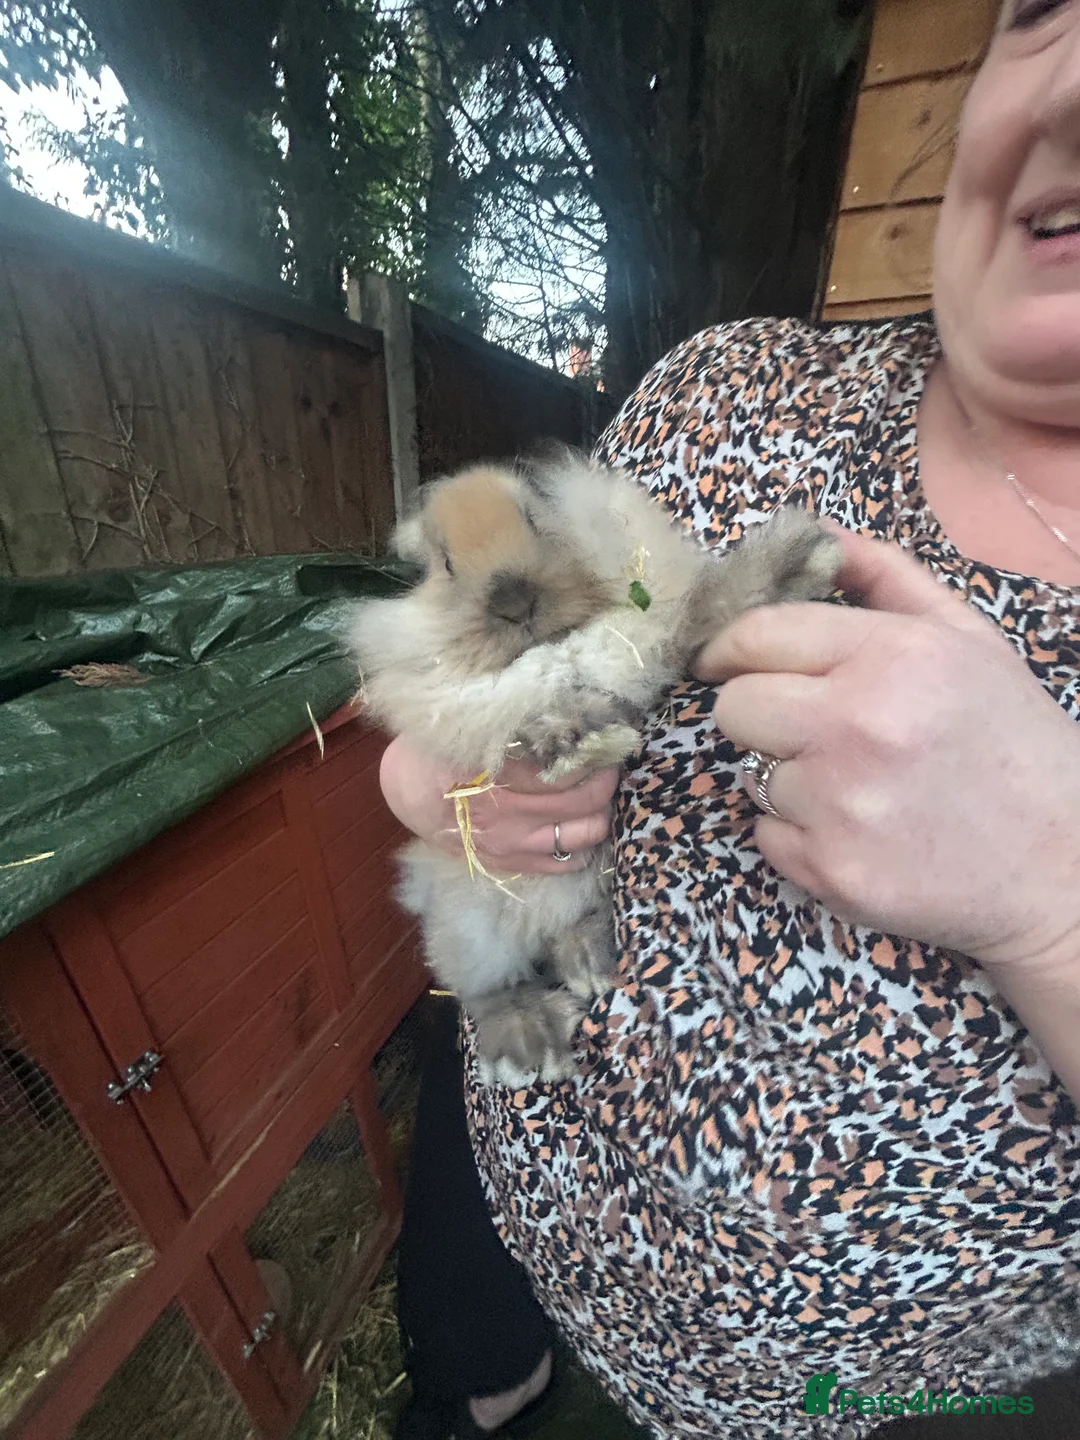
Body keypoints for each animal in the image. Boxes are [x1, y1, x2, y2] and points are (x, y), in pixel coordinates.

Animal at [347, 452, 842, 1085]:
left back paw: (590, 965)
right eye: (446, 565)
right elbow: (532, 717)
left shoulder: (659, 639)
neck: (556, 647)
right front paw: (573, 745)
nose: (514, 602)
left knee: (571, 927)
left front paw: (806, 557)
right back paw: (534, 1040)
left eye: (534, 517)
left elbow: (710, 606)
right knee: (488, 990)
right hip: (468, 927)